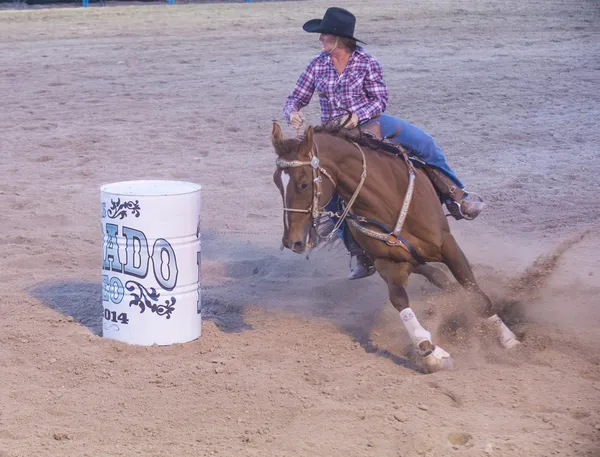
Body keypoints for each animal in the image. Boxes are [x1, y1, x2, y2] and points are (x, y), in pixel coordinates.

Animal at [272, 122, 520, 374]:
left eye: (303, 183)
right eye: (276, 182)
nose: (291, 241)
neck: (384, 202)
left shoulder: (448, 246)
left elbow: (477, 296)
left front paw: (509, 339)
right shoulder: (388, 263)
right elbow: (400, 301)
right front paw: (430, 352)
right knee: (437, 276)